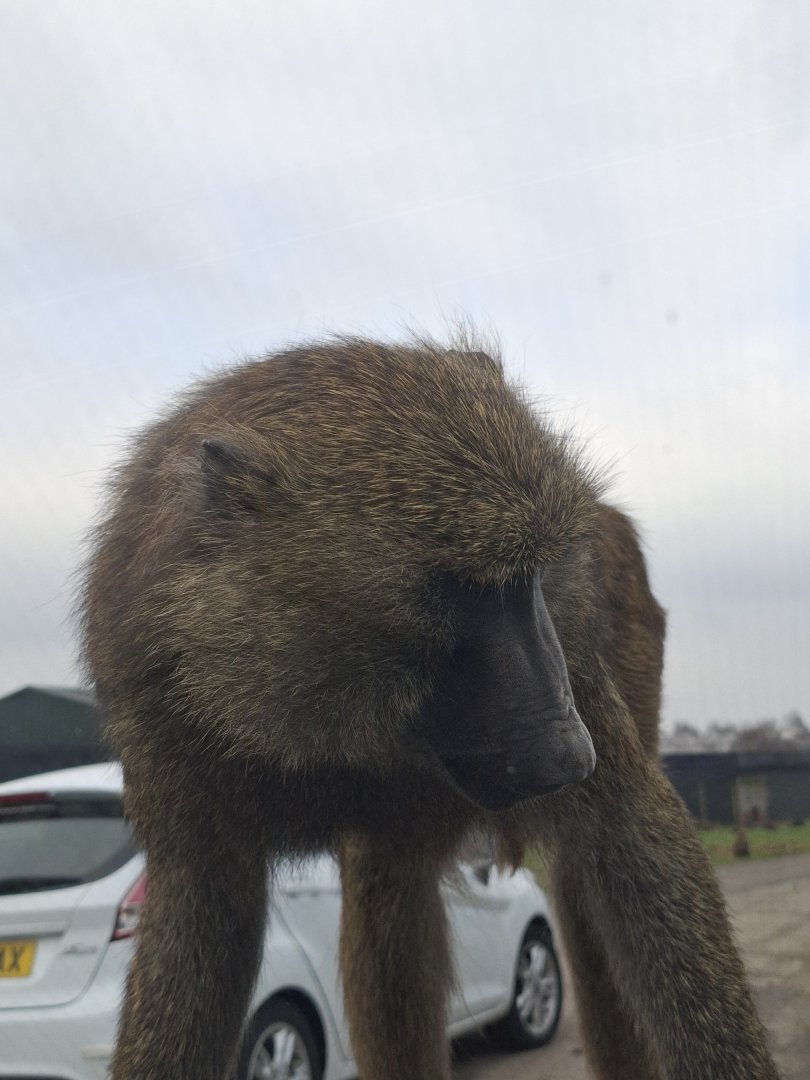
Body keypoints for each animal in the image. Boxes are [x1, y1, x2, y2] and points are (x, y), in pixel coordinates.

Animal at [80, 335, 778, 1080]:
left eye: (530, 581)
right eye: (464, 591)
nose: (569, 752)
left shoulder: (576, 658)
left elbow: (626, 828)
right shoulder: (155, 708)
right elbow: (204, 914)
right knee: (391, 890)